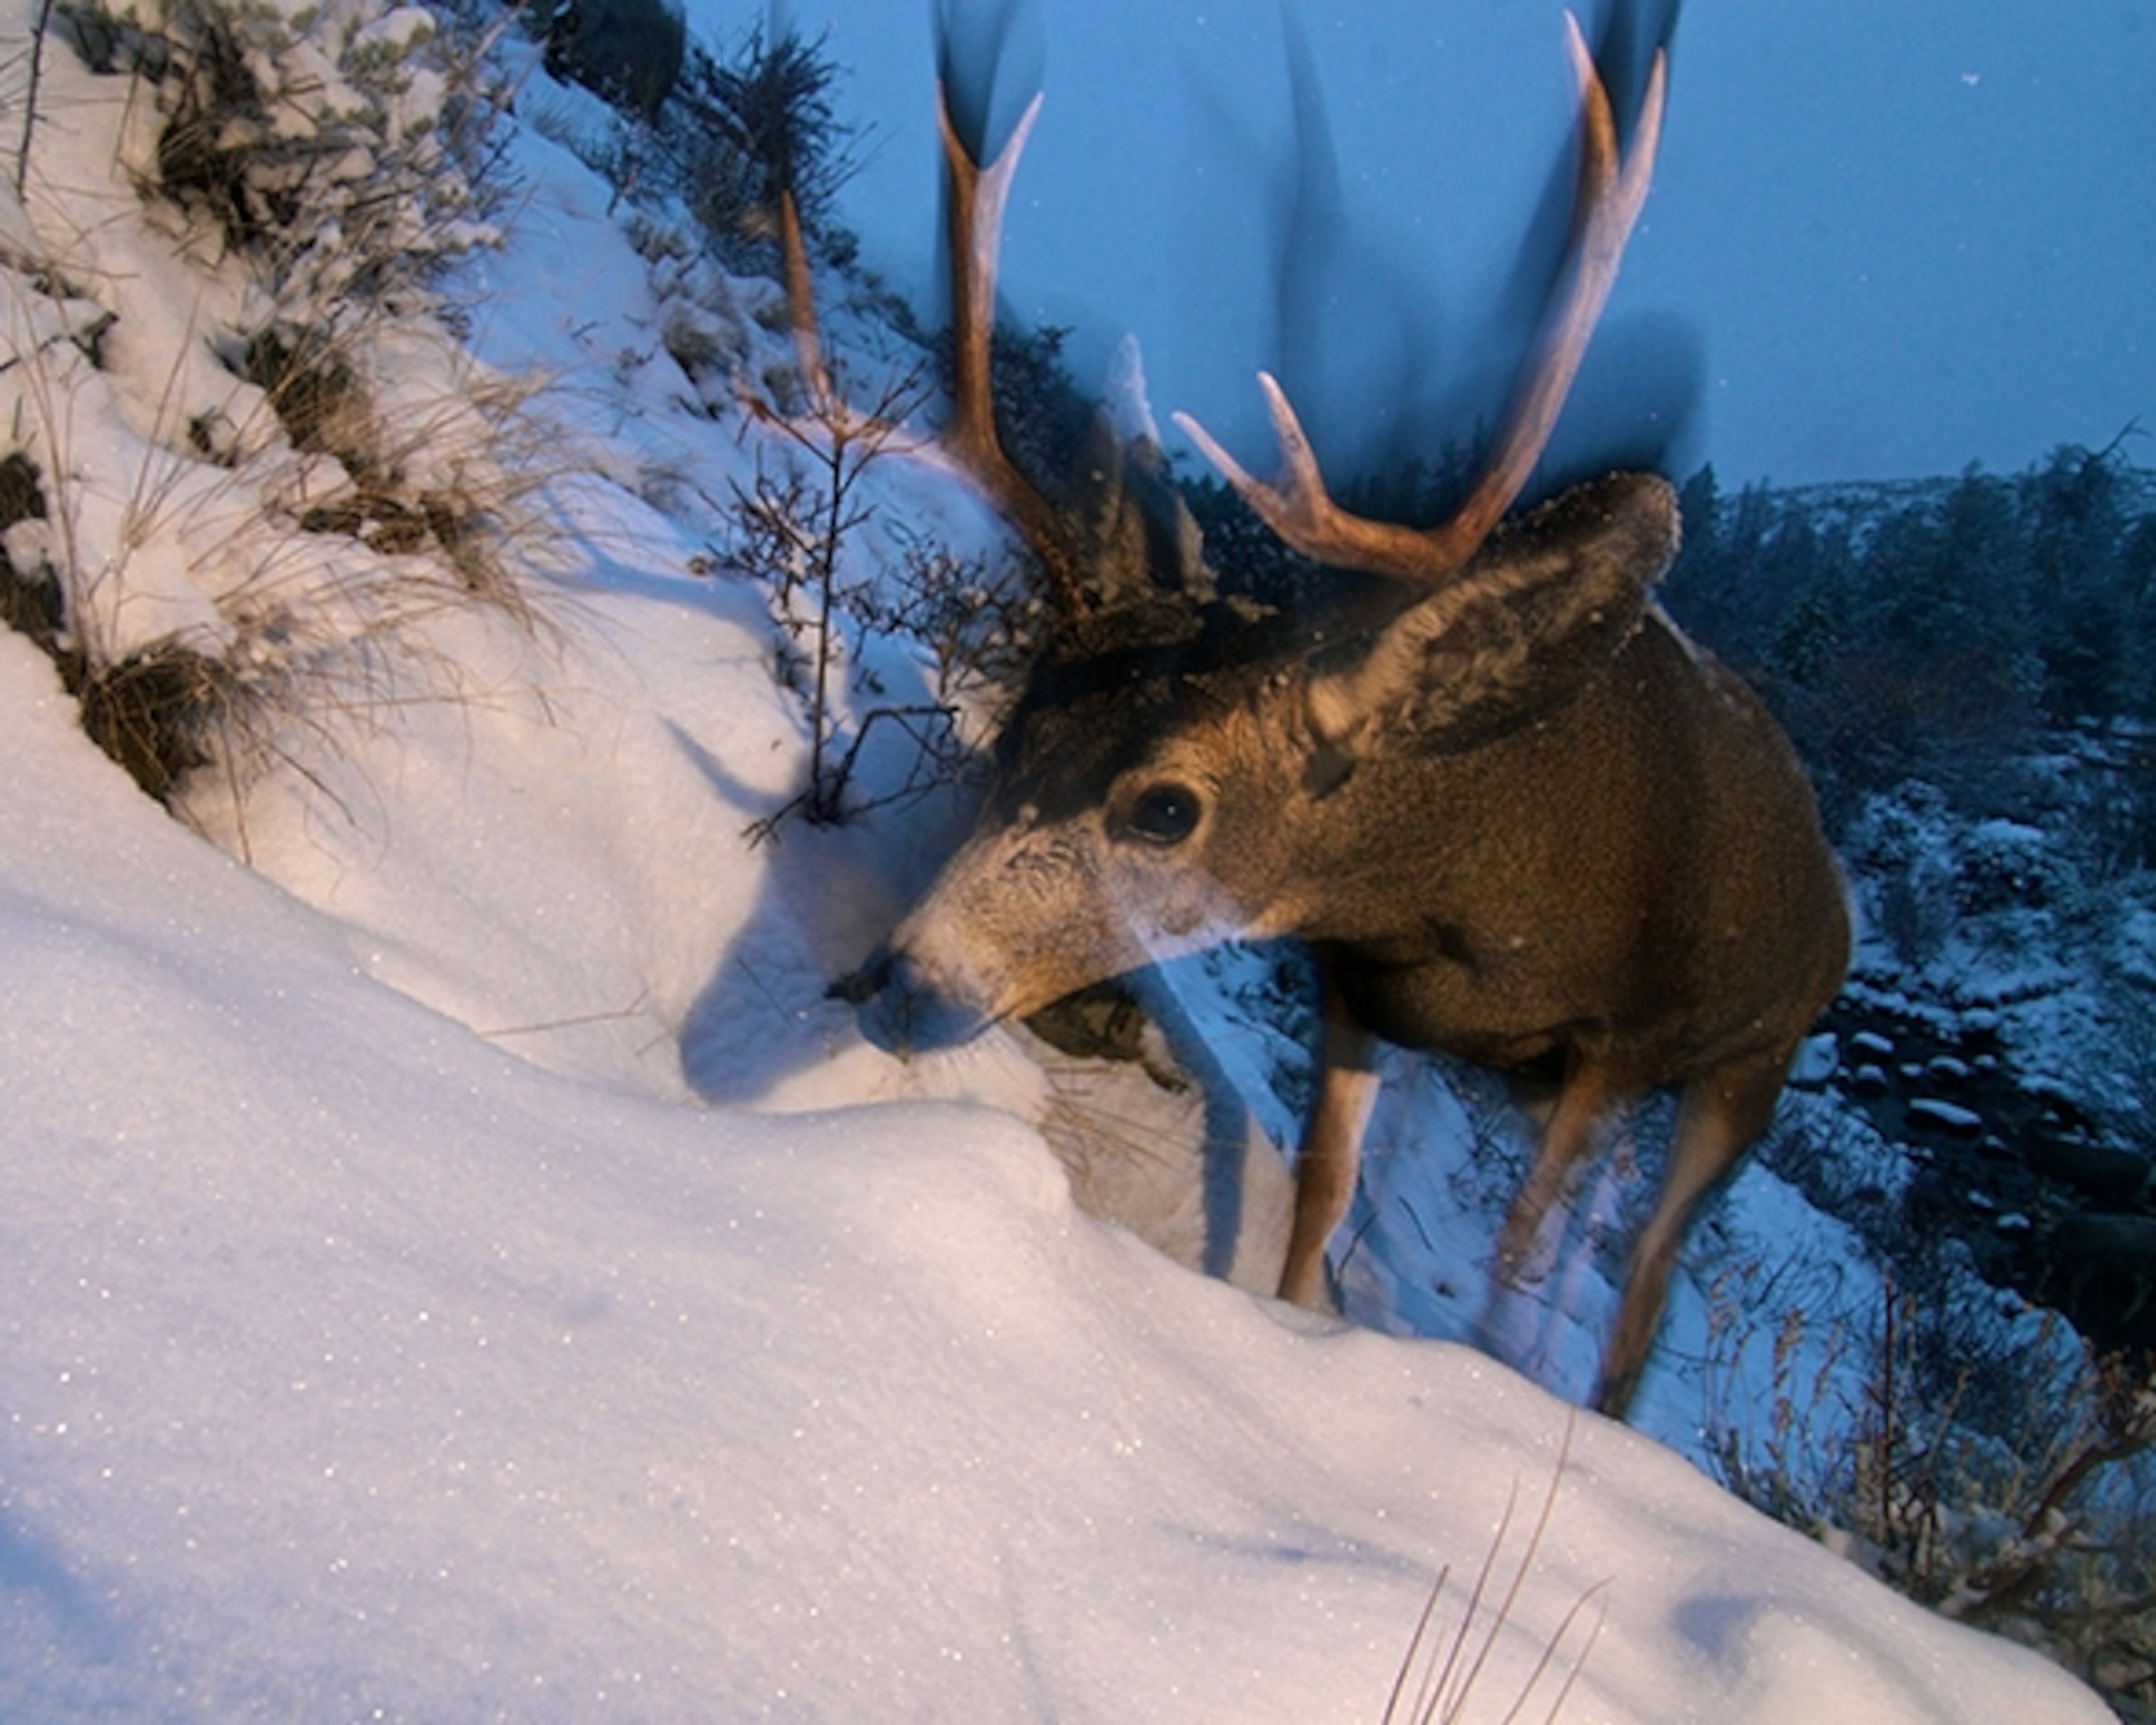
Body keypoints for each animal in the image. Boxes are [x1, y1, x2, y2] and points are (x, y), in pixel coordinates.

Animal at [817, 8, 1850, 1419]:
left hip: (1757, 1060)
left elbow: (1522, 1257)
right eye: (1014, 722)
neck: (1468, 903)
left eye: (1166, 807)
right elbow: (1319, 1197)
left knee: (1637, 1287)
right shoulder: (1357, 984)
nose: (896, 978)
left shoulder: (1620, 1040)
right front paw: (1294, 1338)